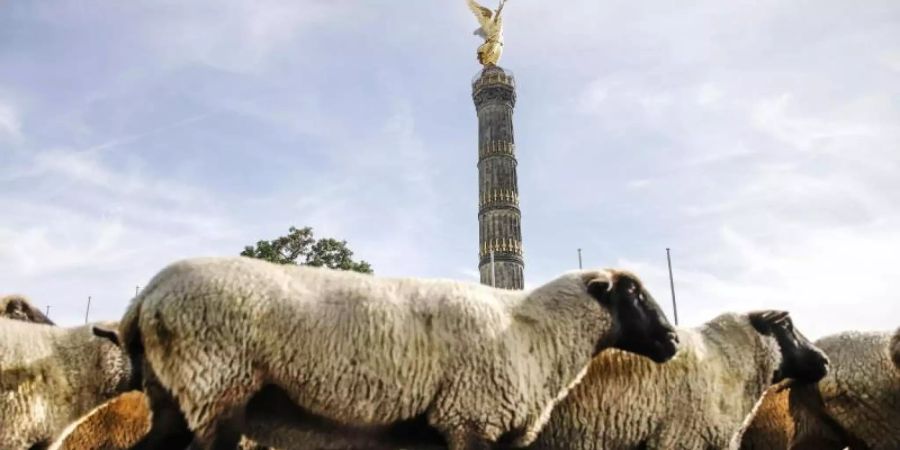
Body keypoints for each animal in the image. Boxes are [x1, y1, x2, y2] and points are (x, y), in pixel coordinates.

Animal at [116, 256, 680, 450]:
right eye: (633, 293)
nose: (673, 341)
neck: (532, 331)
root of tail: (149, 294)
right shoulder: (470, 420)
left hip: (175, 399)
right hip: (218, 389)